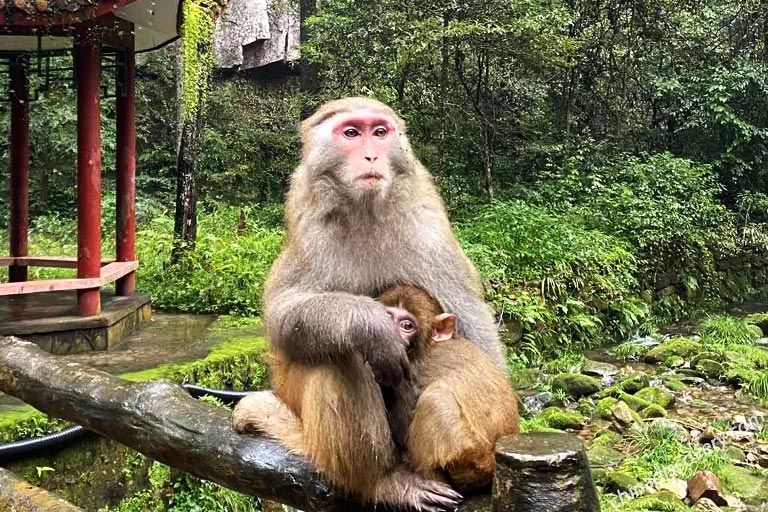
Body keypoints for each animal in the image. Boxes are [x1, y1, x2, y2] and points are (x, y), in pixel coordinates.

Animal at [231, 98, 500, 510]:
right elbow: (284, 320)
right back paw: (382, 480)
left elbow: (469, 320)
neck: (366, 211)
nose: (371, 155)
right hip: (295, 396)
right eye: (351, 133)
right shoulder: (311, 233)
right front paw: (370, 326)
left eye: (380, 132)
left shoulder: (428, 229)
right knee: (338, 354)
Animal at [380, 286, 520, 490]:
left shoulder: (407, 373)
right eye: (388, 316)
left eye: (407, 326)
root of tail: (490, 464)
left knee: (435, 399)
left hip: (469, 455)